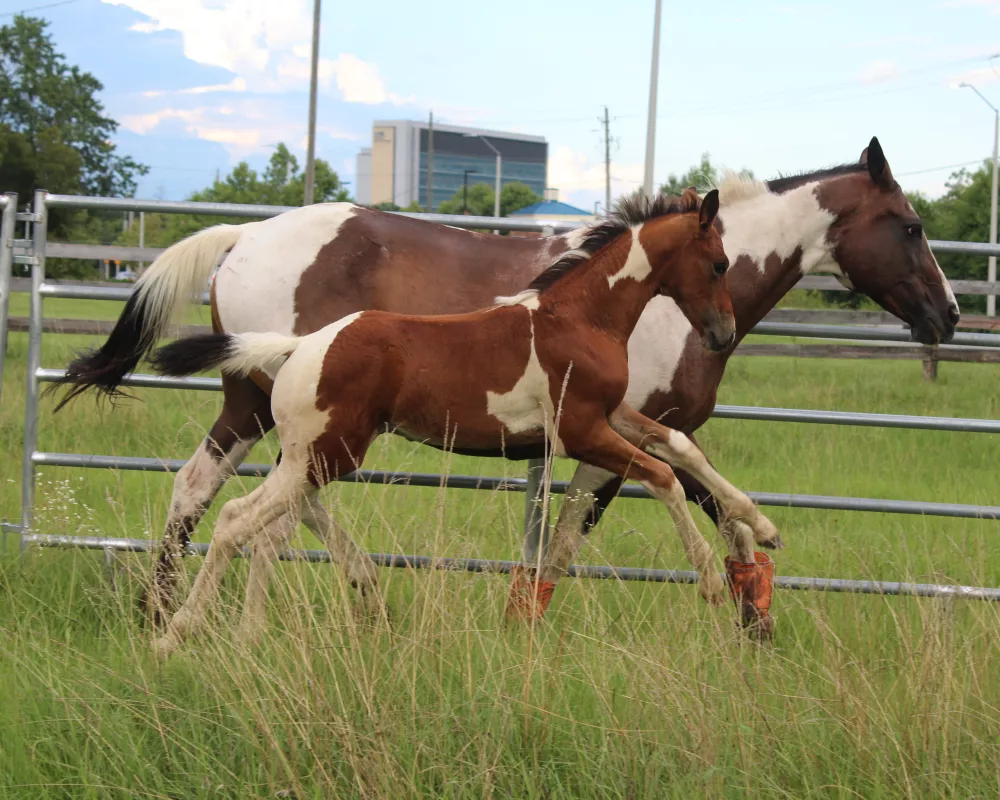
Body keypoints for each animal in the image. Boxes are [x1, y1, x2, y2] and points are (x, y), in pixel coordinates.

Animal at [146, 191, 772, 660]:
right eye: (719, 262)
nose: (721, 333)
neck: (578, 318)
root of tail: (300, 347)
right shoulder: (579, 432)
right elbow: (662, 477)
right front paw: (710, 578)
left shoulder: (613, 413)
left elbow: (679, 449)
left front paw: (763, 527)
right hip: (323, 456)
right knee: (235, 516)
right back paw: (177, 633)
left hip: (311, 458)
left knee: (247, 518)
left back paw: (228, 633)